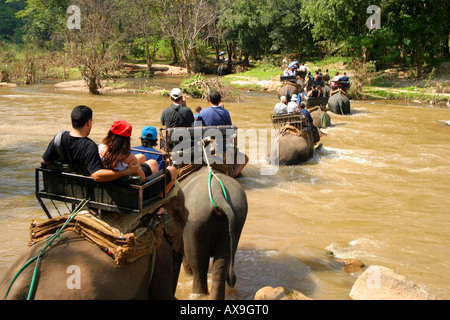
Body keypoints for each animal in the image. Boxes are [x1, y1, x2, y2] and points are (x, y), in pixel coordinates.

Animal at [179, 168, 248, 300]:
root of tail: (217, 193)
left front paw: (188, 273)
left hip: (195, 223)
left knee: (198, 264)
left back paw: (198, 294)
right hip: (236, 220)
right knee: (222, 263)